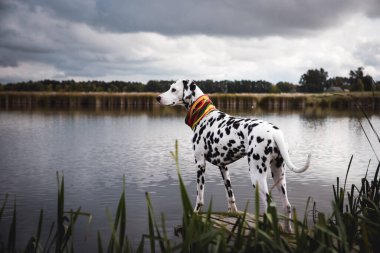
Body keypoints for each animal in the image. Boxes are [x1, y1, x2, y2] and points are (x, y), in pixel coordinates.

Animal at [156, 80, 310, 232]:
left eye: (173, 89)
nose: (157, 98)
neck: (203, 115)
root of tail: (274, 132)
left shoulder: (200, 163)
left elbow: (200, 197)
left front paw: (195, 213)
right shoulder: (223, 167)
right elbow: (230, 194)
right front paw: (233, 213)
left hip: (257, 176)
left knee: (269, 205)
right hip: (278, 174)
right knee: (287, 205)